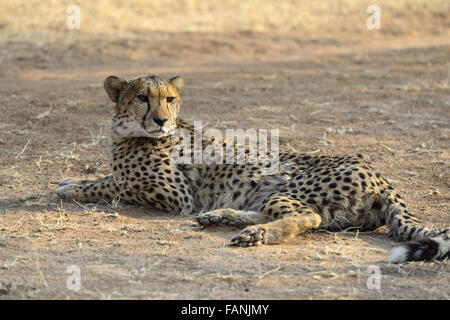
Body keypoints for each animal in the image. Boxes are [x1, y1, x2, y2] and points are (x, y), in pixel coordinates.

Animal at [58, 74, 448, 262]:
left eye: (169, 99)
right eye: (142, 97)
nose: (160, 120)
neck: (131, 132)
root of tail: (378, 172)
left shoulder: (175, 196)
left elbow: (113, 182)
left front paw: (71, 186)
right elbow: (110, 177)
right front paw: (72, 180)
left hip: (286, 186)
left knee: (306, 217)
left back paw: (253, 234)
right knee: (291, 215)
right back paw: (223, 216)